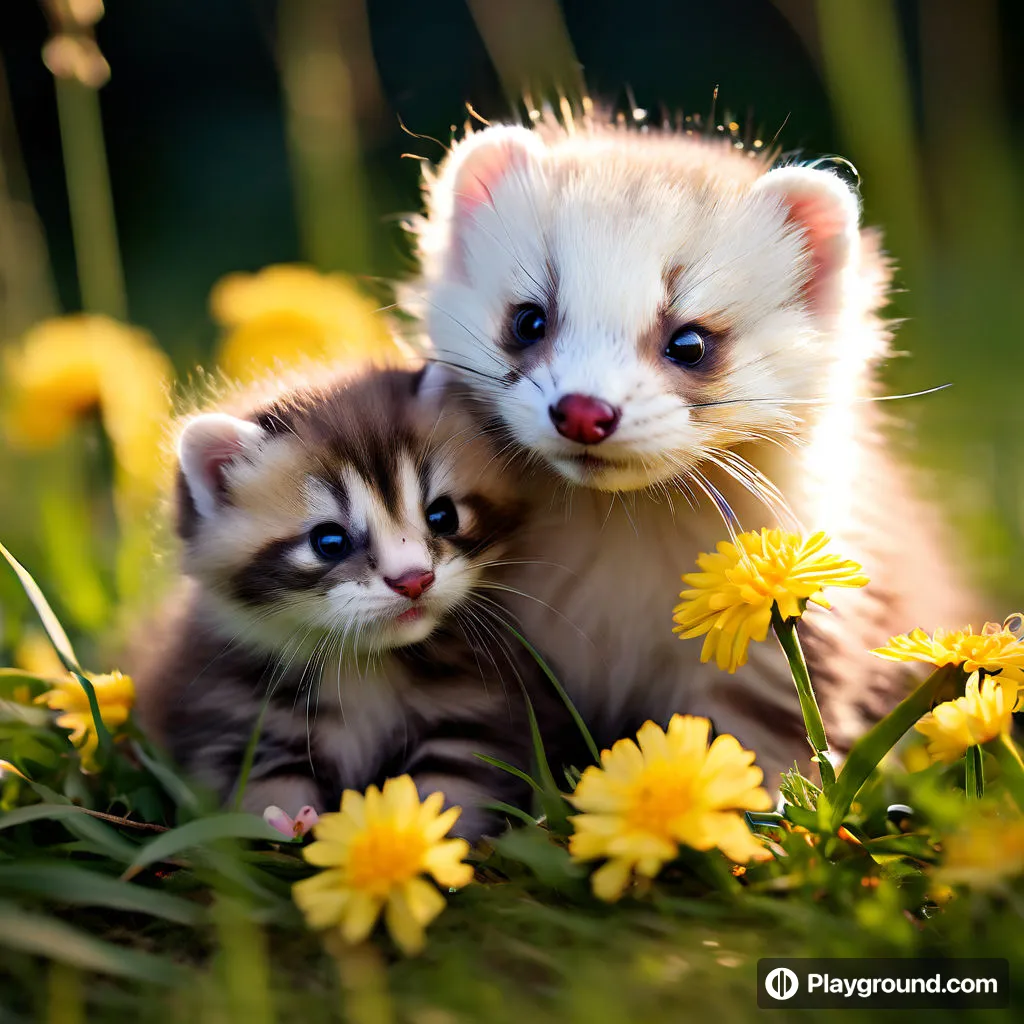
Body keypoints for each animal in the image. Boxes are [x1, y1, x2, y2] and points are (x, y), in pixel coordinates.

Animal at [136, 364, 544, 835]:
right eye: (329, 542)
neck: (364, 666)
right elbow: (263, 800)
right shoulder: (238, 721)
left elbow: (454, 790)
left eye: (443, 516)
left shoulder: (475, 715)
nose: (413, 580)